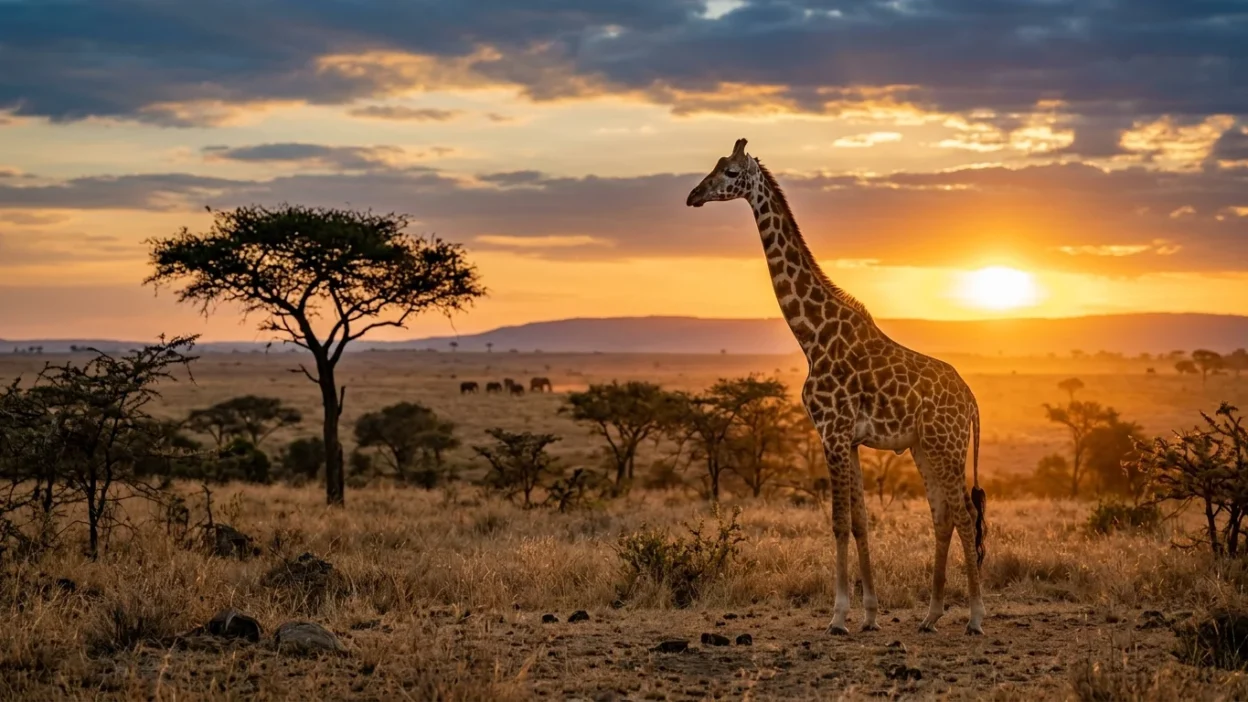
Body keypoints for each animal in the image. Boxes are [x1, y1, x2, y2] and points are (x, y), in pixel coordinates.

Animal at [686, 138, 988, 635]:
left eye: (729, 172)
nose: (693, 196)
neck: (812, 334)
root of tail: (973, 402)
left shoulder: (831, 431)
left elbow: (838, 522)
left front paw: (839, 615)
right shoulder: (848, 438)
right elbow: (861, 522)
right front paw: (869, 613)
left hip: (946, 445)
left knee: (964, 515)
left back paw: (976, 617)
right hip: (925, 447)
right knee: (944, 517)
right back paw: (930, 615)